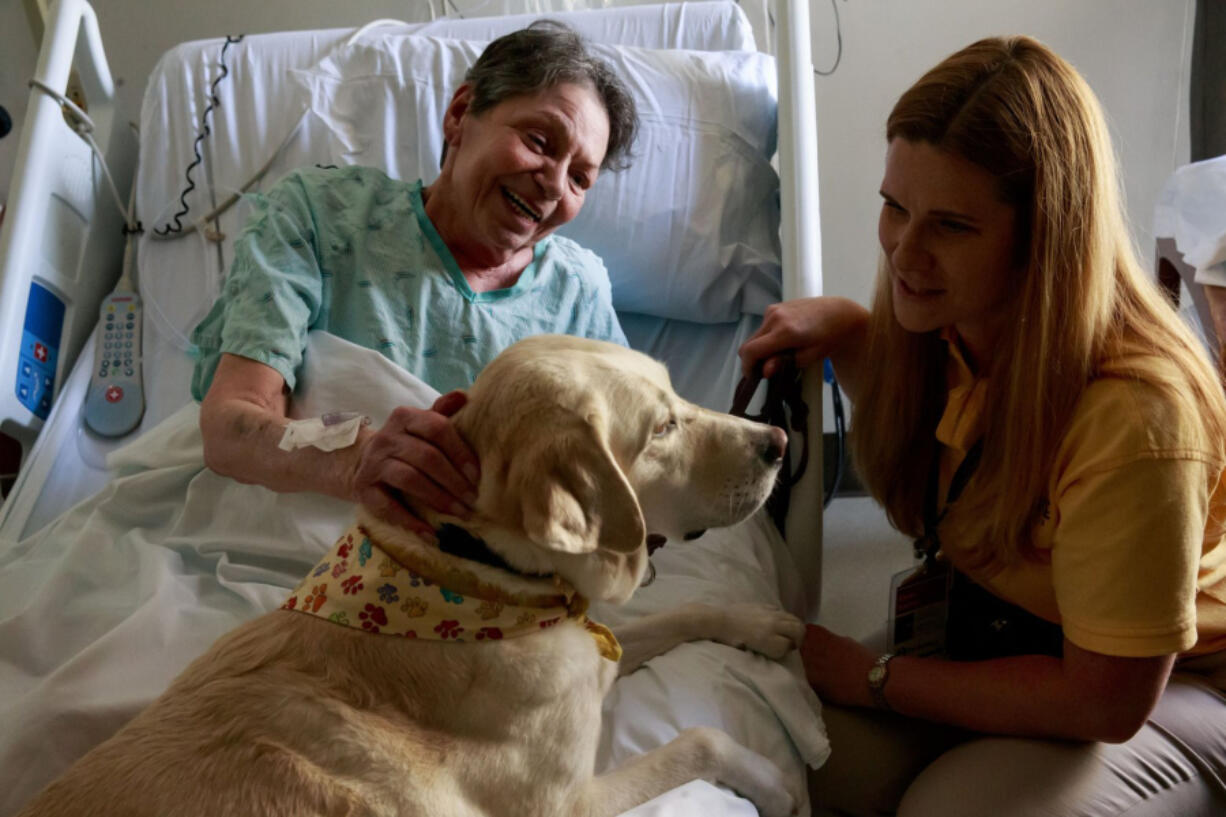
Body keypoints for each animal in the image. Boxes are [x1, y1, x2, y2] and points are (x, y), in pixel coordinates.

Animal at [21, 336, 804, 814]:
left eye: (679, 396)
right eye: (663, 429)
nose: (779, 438)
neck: (471, 568)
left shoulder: (590, 647)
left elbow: (680, 614)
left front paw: (763, 625)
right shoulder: (568, 801)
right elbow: (699, 740)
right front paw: (779, 781)